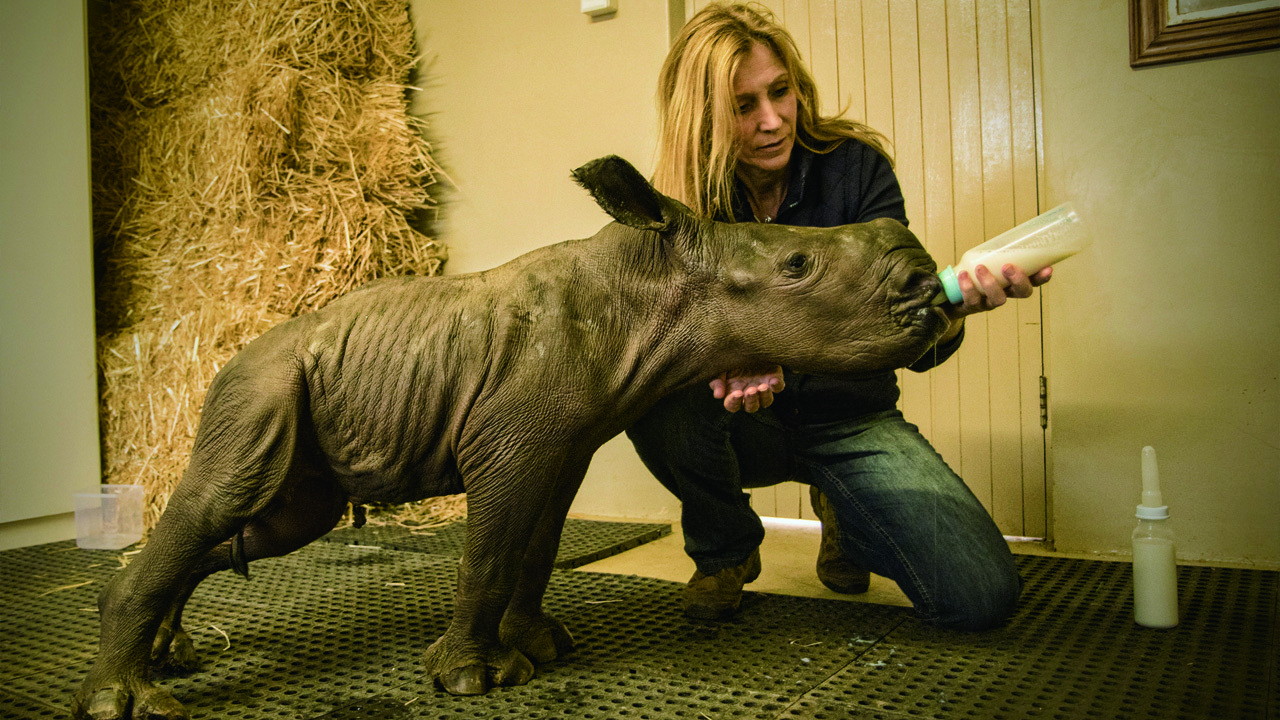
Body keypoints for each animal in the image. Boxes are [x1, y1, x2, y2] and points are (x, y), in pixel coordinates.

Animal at [73, 155, 948, 718]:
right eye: (797, 265)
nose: (925, 287)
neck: (649, 287)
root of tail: (228, 355)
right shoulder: (512, 444)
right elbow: (489, 555)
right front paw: (469, 681)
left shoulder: (562, 444)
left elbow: (535, 548)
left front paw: (541, 647)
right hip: (260, 385)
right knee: (228, 499)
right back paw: (128, 700)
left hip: (294, 401)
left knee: (270, 524)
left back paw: (168, 652)